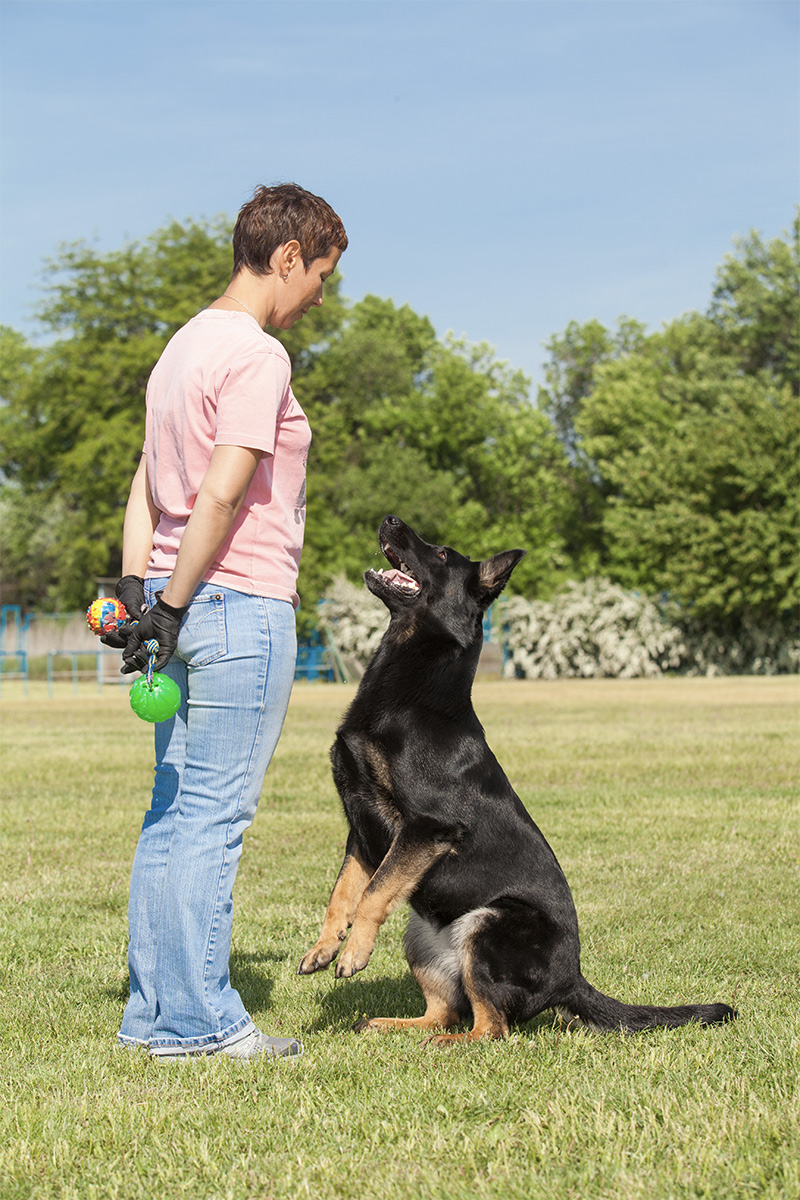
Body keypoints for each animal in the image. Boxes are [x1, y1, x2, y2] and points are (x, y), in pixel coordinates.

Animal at [297, 516, 734, 1041]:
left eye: (441, 554)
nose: (390, 519)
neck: (414, 695)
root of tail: (573, 979)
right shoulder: (363, 831)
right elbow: (343, 893)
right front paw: (325, 946)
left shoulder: (425, 828)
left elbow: (374, 892)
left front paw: (354, 951)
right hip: (423, 932)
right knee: (446, 1012)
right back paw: (392, 1026)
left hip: (487, 925)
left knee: (490, 1029)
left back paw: (445, 1045)